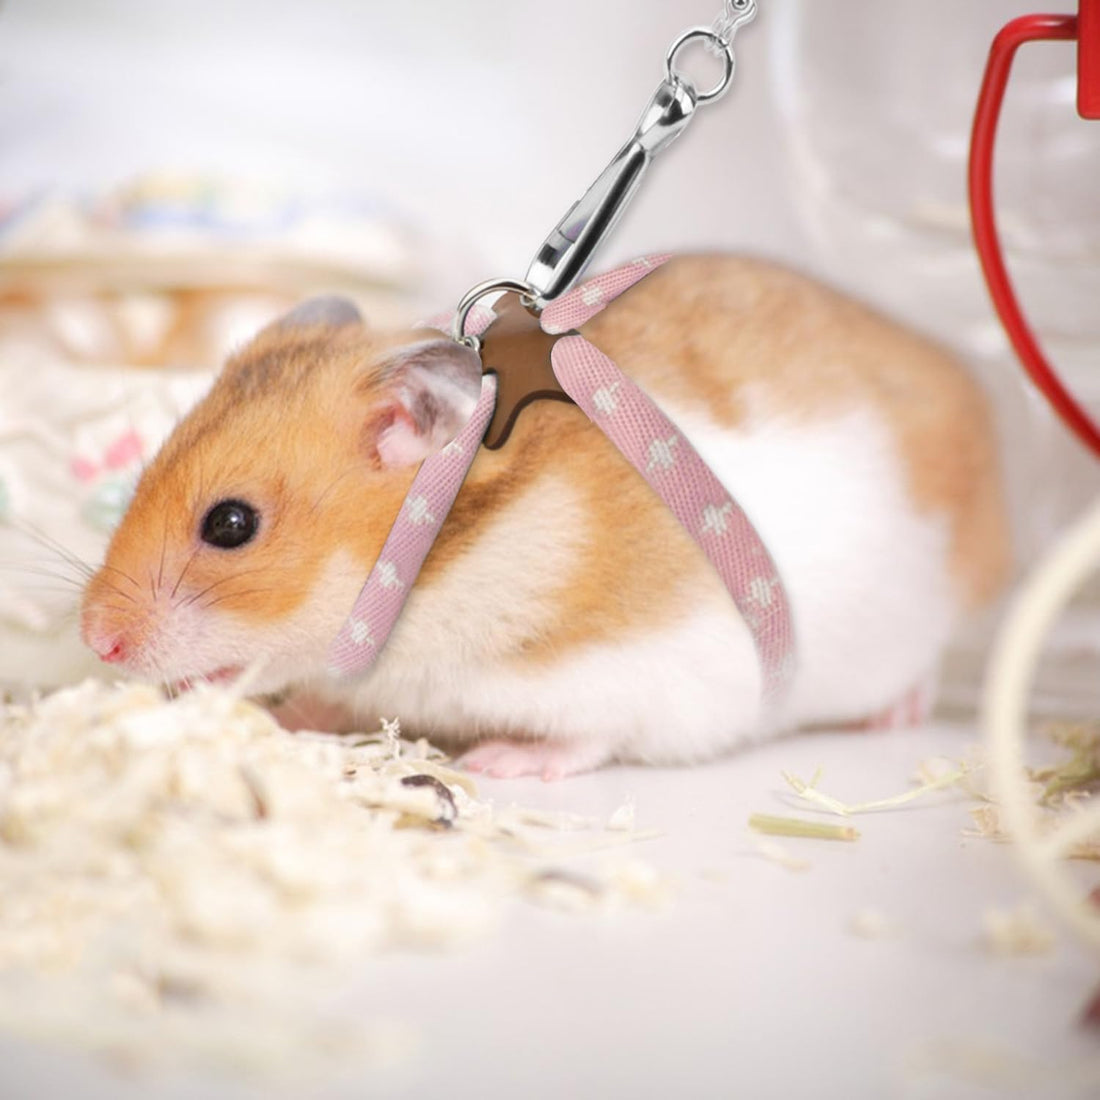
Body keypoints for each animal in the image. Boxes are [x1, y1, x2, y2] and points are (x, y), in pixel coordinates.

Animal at [80, 255, 1011, 779]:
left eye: (231, 525)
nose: (96, 640)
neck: (443, 564)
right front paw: (292, 716)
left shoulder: (638, 680)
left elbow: (586, 739)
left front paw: (501, 762)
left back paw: (893, 715)